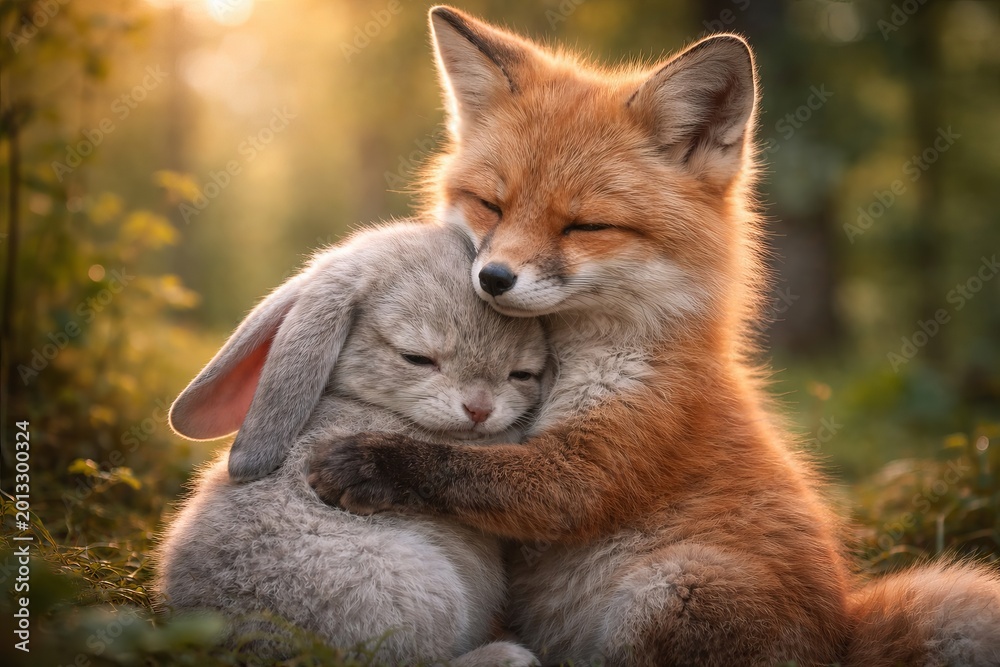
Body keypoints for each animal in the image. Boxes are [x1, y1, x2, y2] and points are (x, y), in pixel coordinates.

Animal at [308, 6, 1000, 666]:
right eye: (491, 206)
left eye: (585, 226)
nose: (493, 278)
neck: (579, 355)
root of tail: (840, 635)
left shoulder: (603, 457)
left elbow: (476, 471)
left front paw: (370, 461)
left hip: (671, 590)